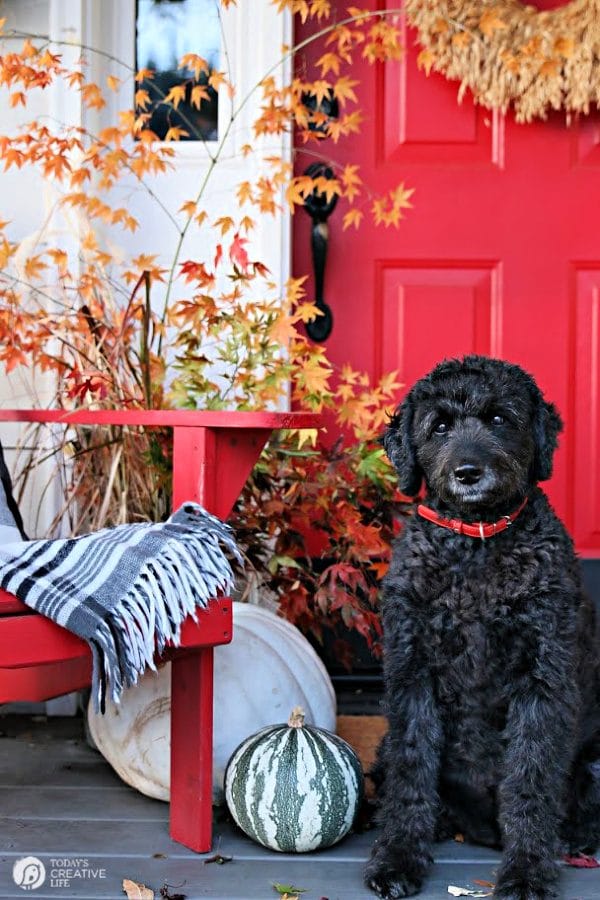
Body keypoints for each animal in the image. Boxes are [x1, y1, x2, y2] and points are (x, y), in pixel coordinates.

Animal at [366, 358, 600, 900]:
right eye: (440, 426)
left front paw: (527, 871)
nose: (468, 472)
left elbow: (530, 780)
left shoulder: (543, 681)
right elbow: (412, 773)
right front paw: (398, 858)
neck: (476, 546)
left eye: (498, 418)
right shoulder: (411, 677)